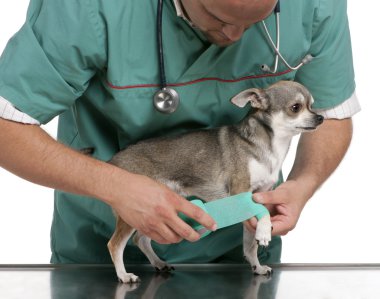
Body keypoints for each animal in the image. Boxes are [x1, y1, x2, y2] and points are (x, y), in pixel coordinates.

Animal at [106, 81, 324, 284]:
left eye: (312, 105)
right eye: (296, 107)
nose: (320, 117)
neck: (270, 147)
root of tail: (113, 161)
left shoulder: (256, 196)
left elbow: (249, 245)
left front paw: (257, 266)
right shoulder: (241, 192)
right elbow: (263, 216)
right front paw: (264, 231)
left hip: (154, 212)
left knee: (141, 239)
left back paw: (159, 263)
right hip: (133, 211)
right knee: (115, 244)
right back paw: (124, 275)